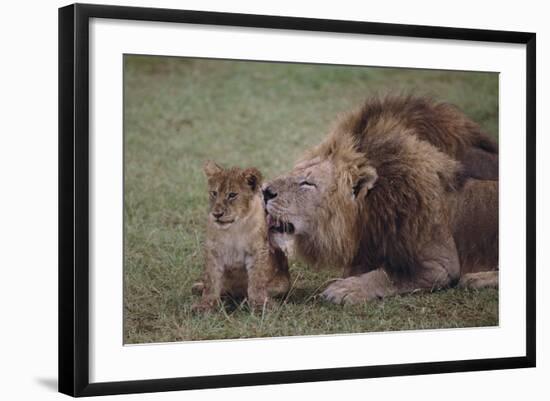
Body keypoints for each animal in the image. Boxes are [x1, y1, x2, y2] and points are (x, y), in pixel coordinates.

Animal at [264, 96, 500, 304]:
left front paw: (345, 289)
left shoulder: (441, 264)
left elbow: (390, 275)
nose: (265, 191)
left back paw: (476, 278)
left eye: (307, 183)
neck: (368, 213)